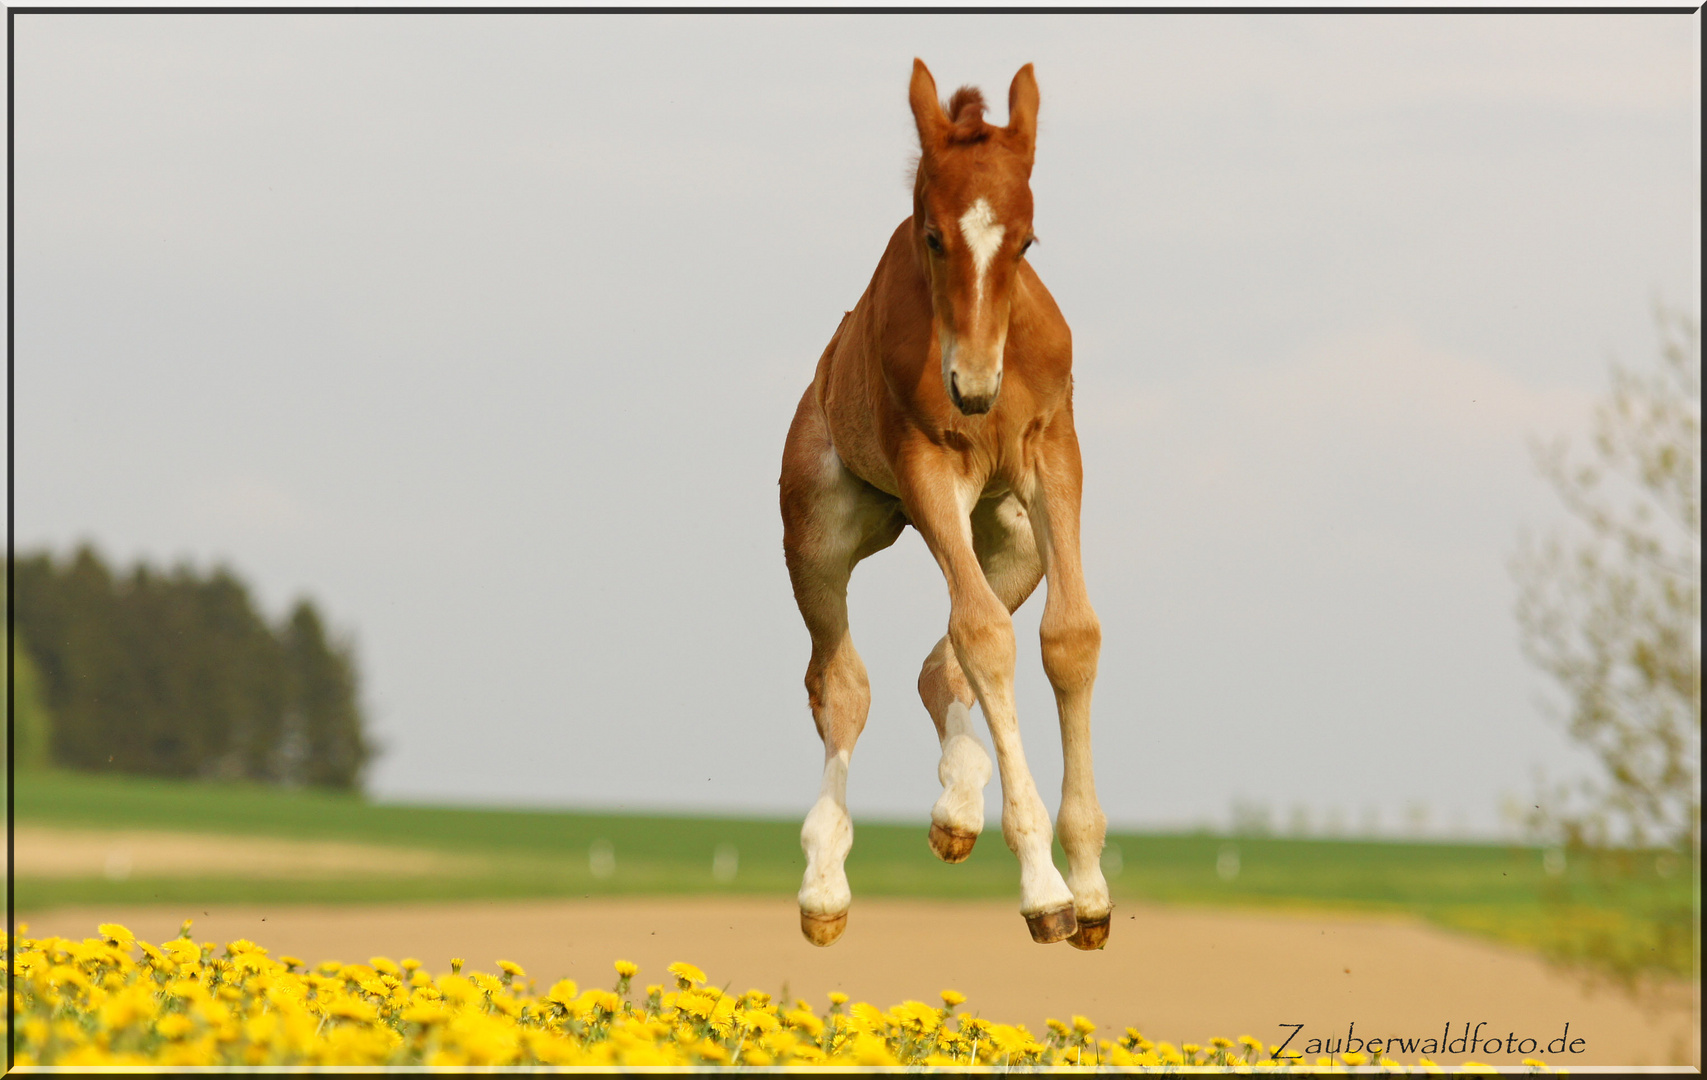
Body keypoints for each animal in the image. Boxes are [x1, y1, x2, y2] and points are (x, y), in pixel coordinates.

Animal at [781, 63, 1112, 948]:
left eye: (1027, 241)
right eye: (932, 236)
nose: (971, 386)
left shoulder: (1051, 454)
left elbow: (1066, 639)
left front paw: (1091, 888)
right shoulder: (927, 466)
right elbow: (985, 639)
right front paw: (1044, 891)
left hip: (1009, 536)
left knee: (941, 661)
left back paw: (957, 811)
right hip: (822, 533)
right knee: (842, 681)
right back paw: (824, 888)